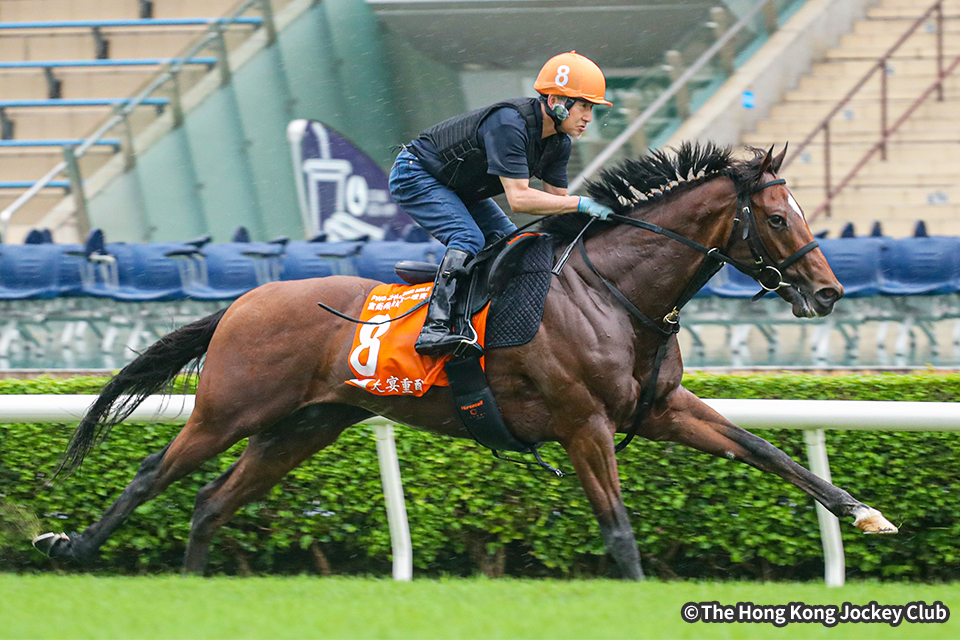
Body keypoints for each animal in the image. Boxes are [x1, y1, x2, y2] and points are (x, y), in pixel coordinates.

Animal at [34, 143, 897, 580]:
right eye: (779, 217)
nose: (827, 291)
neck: (616, 294)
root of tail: (244, 302)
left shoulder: (657, 410)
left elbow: (767, 450)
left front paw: (864, 513)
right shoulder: (584, 424)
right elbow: (618, 531)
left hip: (305, 426)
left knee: (212, 502)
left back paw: (192, 581)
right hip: (230, 411)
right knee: (154, 472)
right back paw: (70, 546)